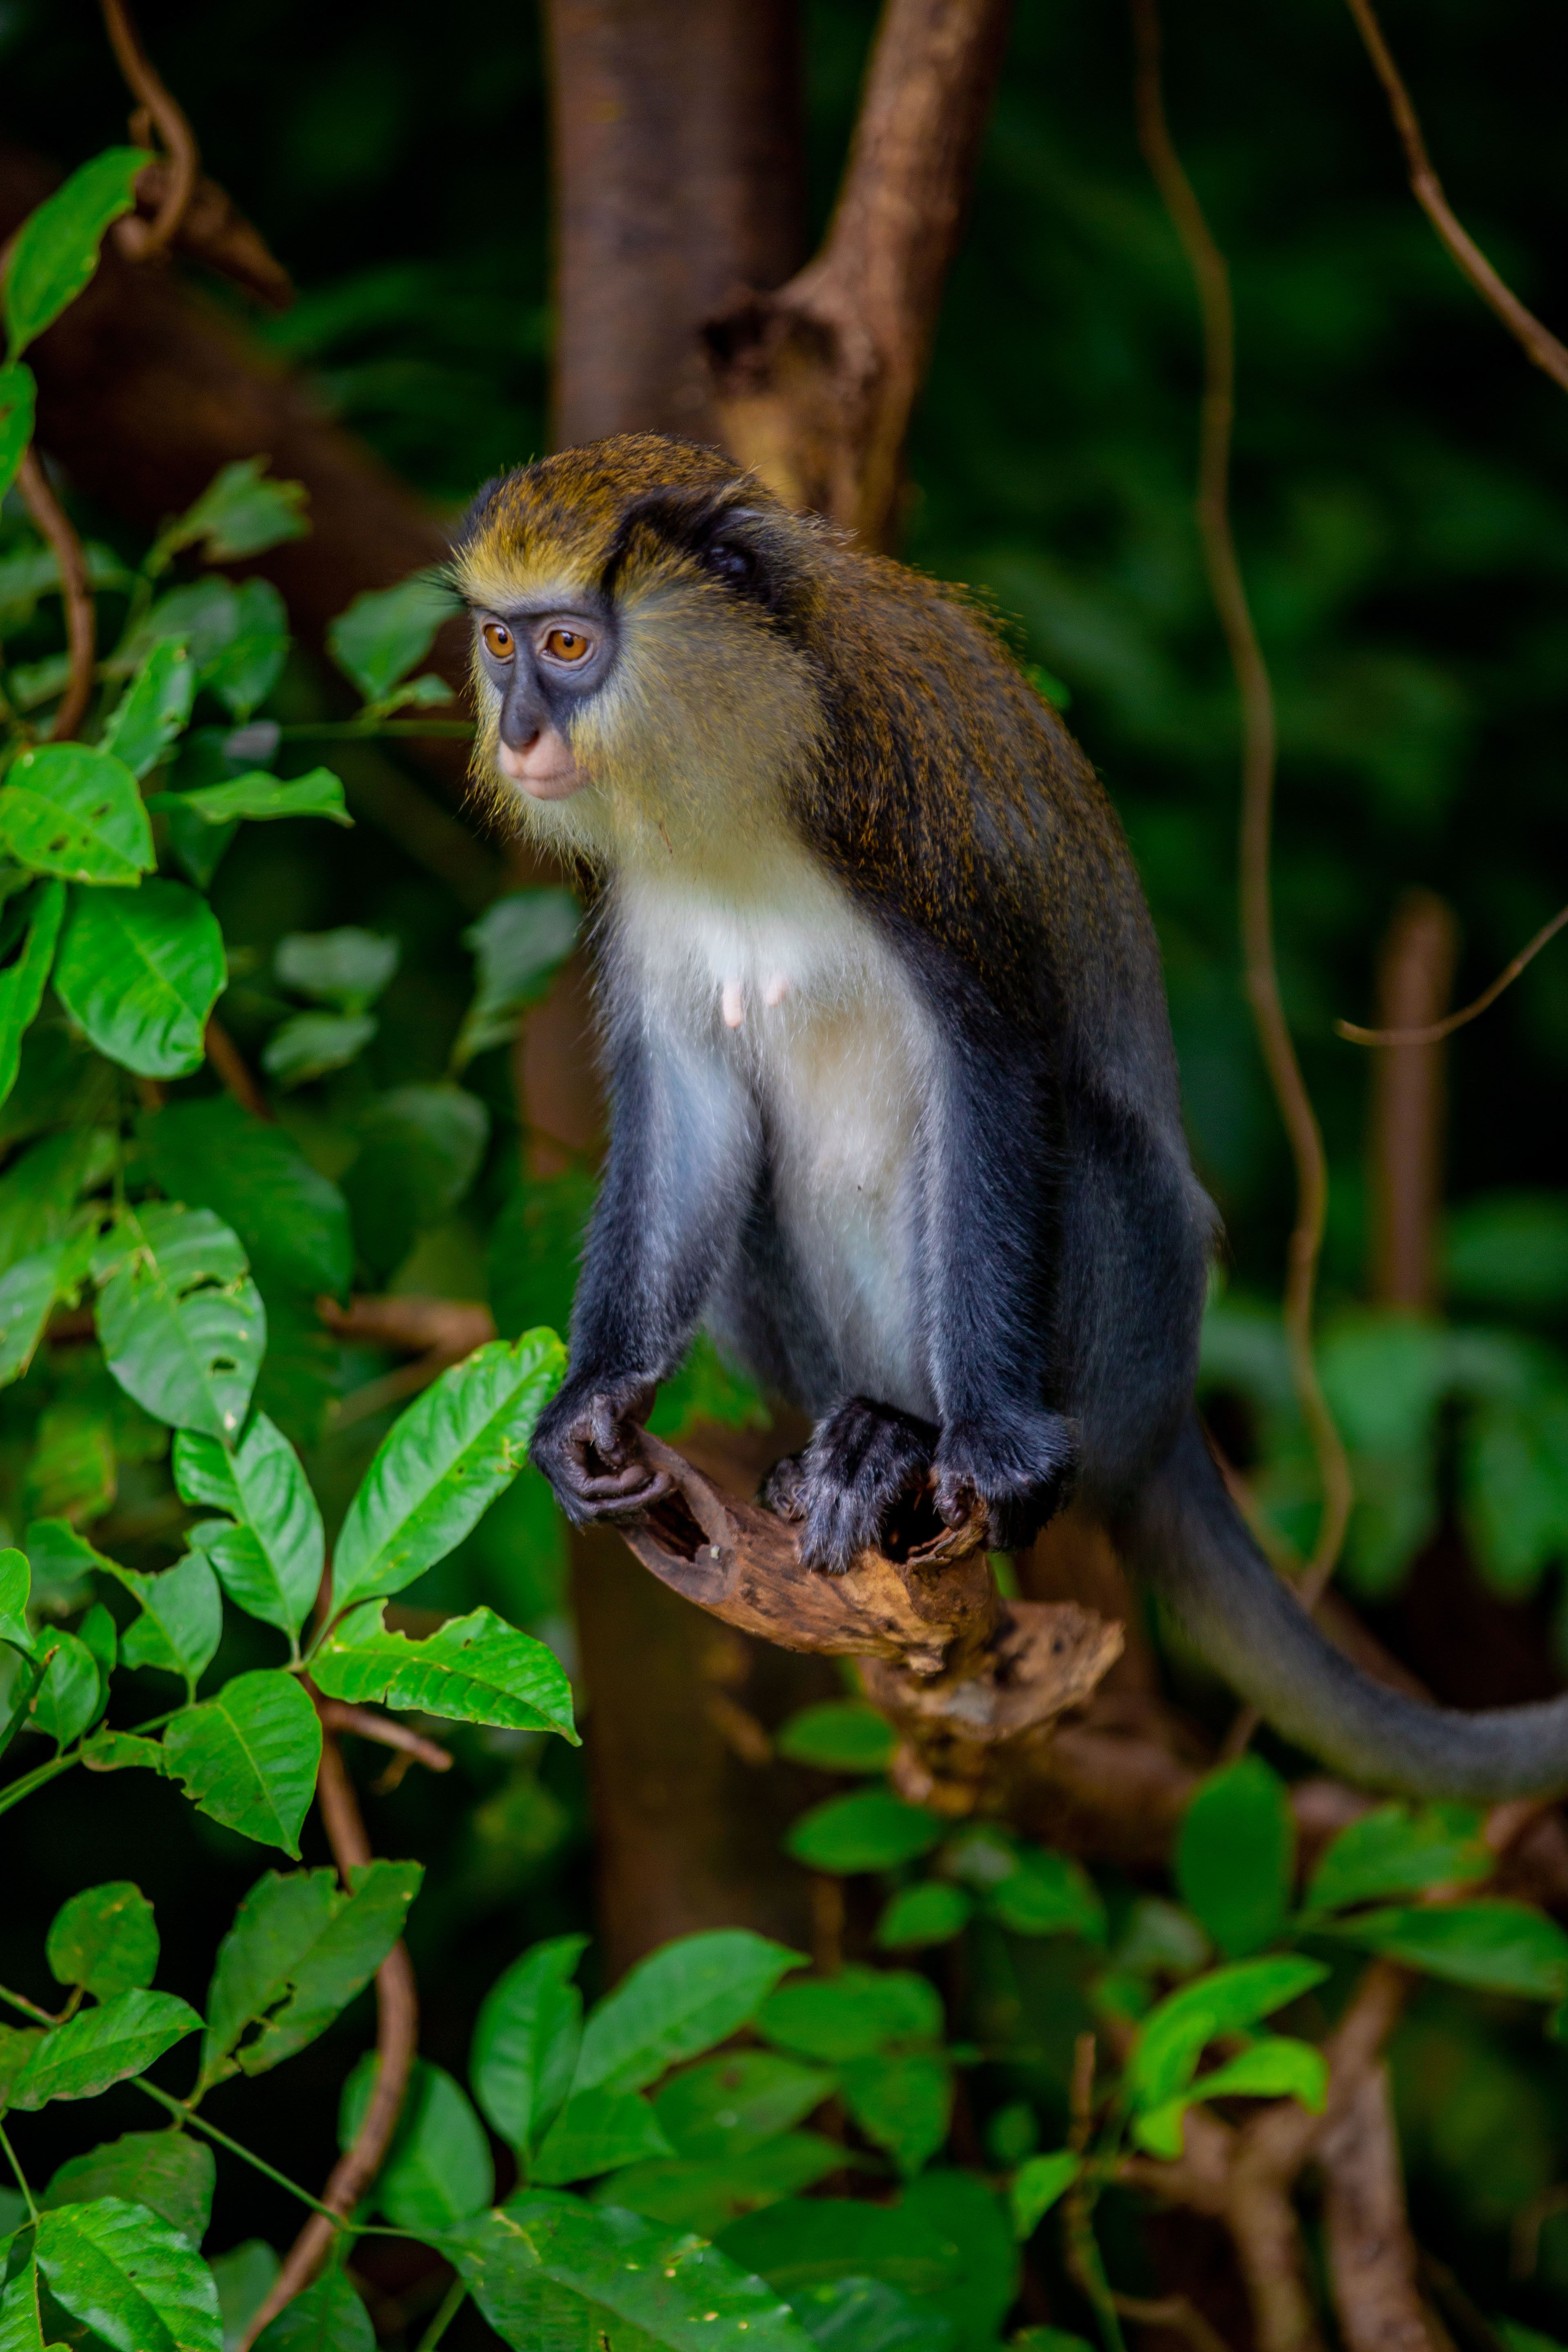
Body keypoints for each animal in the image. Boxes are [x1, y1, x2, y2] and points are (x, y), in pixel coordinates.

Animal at [456, 431, 1568, 1804]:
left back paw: (902, 1440)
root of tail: (1168, 1429)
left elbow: (992, 1072)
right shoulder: (655, 906)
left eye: (567, 646)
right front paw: (592, 1410)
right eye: (500, 645)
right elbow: (691, 1121)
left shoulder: (915, 840)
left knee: (1087, 1143)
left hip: (1133, 1329)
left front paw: (984, 1442)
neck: (740, 776)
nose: (518, 732)